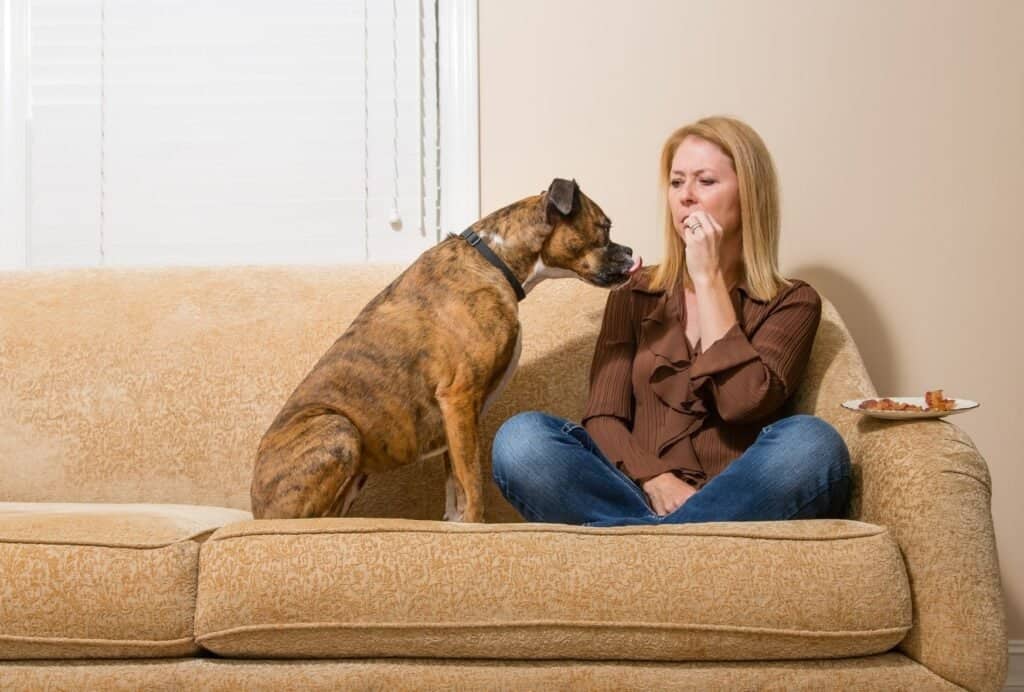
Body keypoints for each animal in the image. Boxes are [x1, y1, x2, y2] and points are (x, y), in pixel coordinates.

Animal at [249, 178, 630, 520]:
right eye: (605, 226)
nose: (629, 252)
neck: (495, 258)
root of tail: (256, 507)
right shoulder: (459, 397)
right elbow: (472, 484)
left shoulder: (455, 418)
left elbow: (456, 486)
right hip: (337, 429)